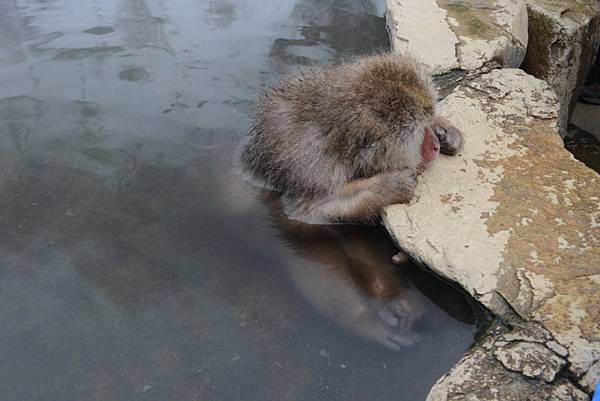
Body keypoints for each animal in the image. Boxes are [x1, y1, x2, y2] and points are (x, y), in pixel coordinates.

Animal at [239, 52, 464, 223]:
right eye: (420, 134)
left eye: (427, 122)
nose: (434, 146)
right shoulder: (312, 167)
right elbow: (306, 211)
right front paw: (387, 185)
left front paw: (444, 129)